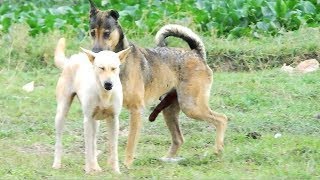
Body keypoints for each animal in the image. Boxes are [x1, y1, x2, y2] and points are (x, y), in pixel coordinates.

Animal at [52, 37, 130, 173]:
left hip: (96, 122)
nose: (108, 84)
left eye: (114, 68)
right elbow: (87, 147)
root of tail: (72, 59)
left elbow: (113, 147)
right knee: (59, 140)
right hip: (62, 113)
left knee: (94, 142)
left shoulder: (114, 119)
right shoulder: (87, 119)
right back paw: (57, 164)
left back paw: (96, 167)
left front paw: (116, 171)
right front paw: (88, 170)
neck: (104, 94)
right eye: (101, 68)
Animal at [87, 0, 228, 167]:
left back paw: (218, 150)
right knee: (179, 139)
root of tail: (196, 53)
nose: (95, 53)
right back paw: (167, 160)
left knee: (222, 119)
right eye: (92, 33)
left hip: (191, 106)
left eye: (107, 33)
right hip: (170, 109)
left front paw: (127, 164)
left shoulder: (136, 110)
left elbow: (130, 142)